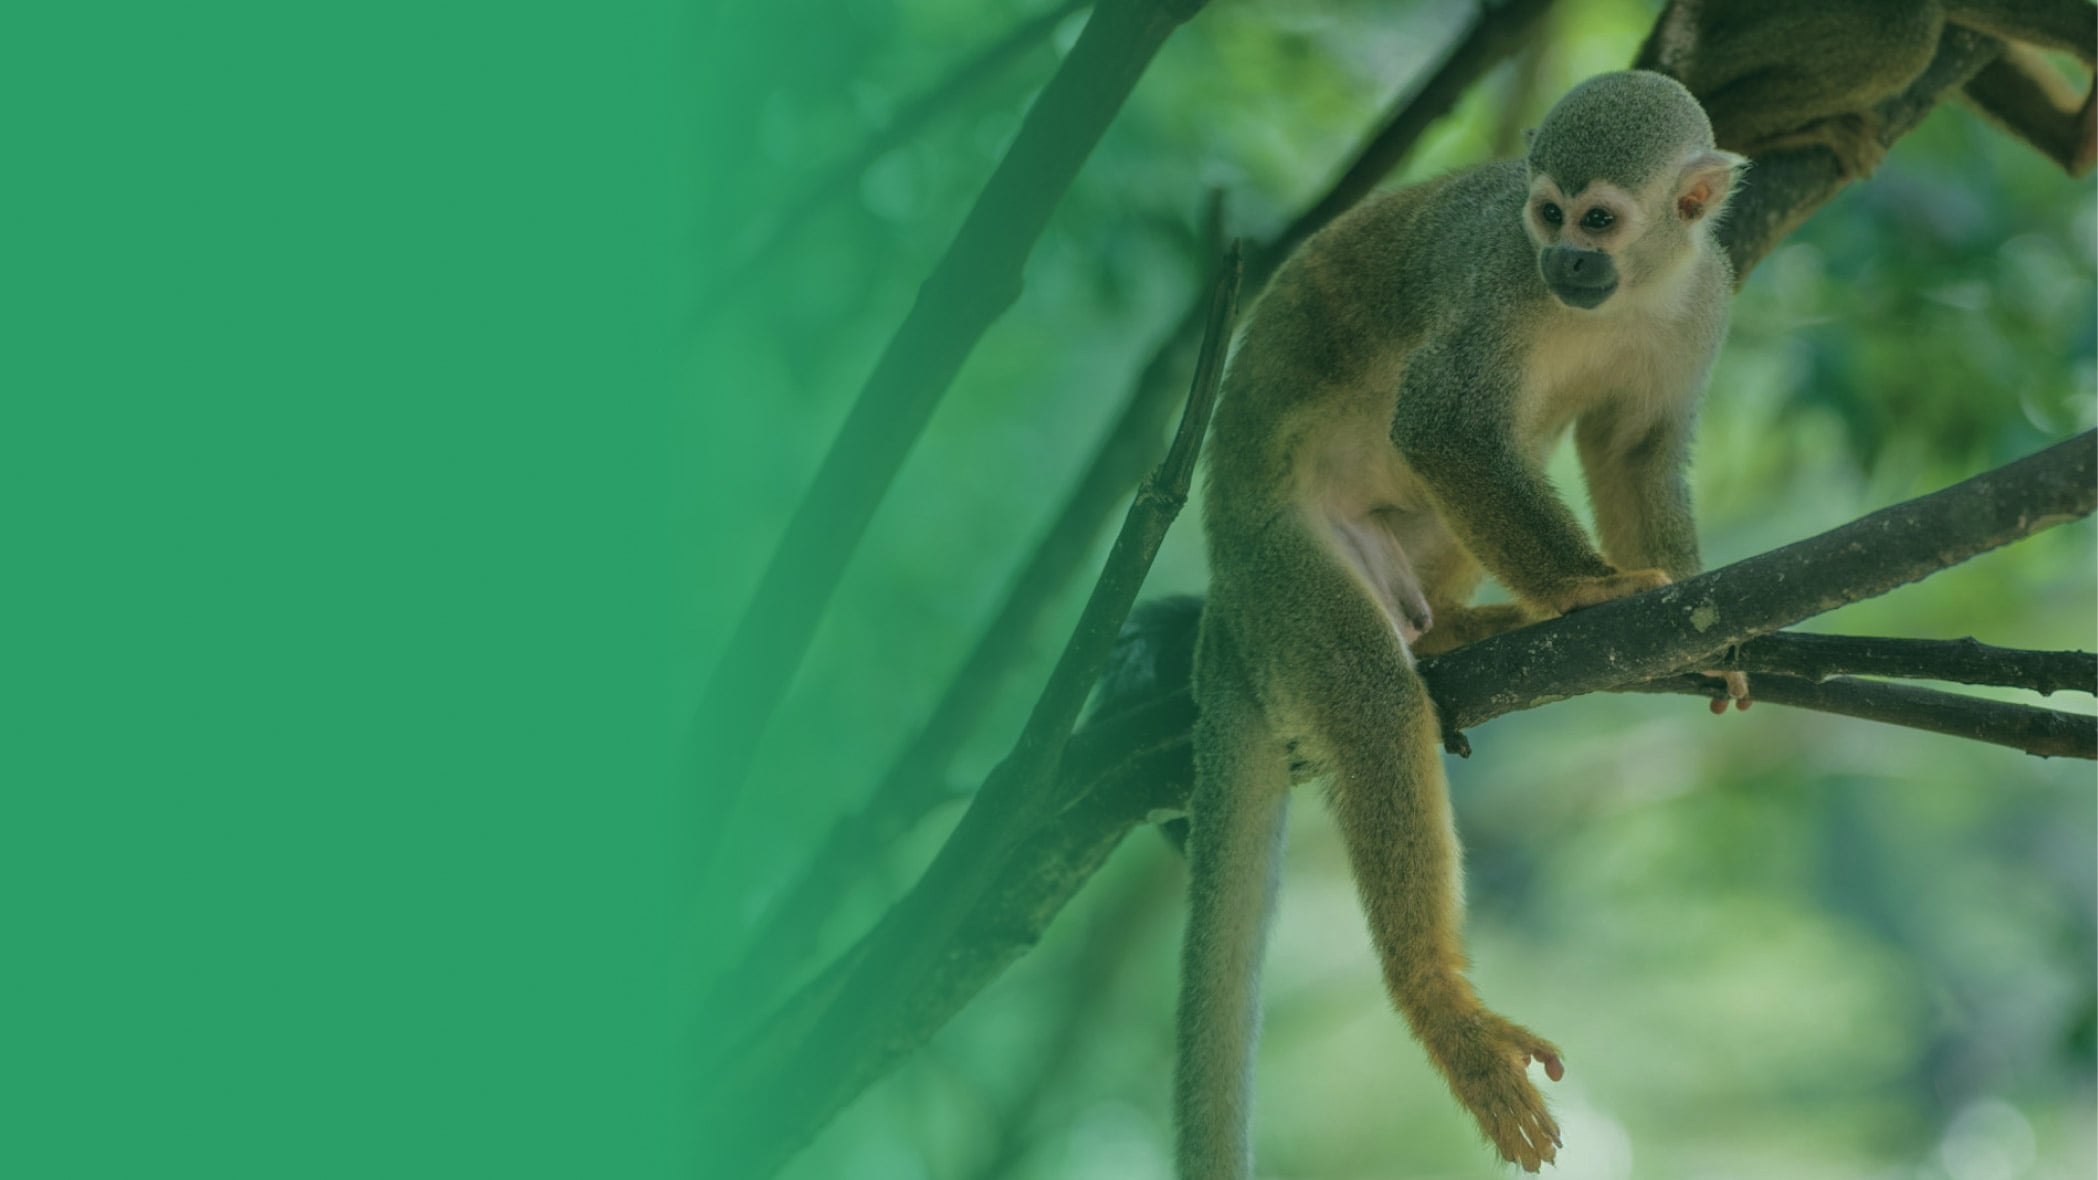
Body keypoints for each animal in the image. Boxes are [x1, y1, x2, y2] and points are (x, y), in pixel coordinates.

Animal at [1176, 71, 1747, 1178]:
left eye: (1599, 220)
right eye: (1547, 213)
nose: (1566, 260)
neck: (1635, 292)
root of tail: (1223, 586)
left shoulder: (1706, 297)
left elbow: (1637, 448)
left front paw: (1696, 631)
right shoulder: (1498, 279)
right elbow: (1439, 425)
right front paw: (1588, 591)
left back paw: (1445, 630)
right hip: (1277, 563)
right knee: (1366, 697)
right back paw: (1438, 1000)